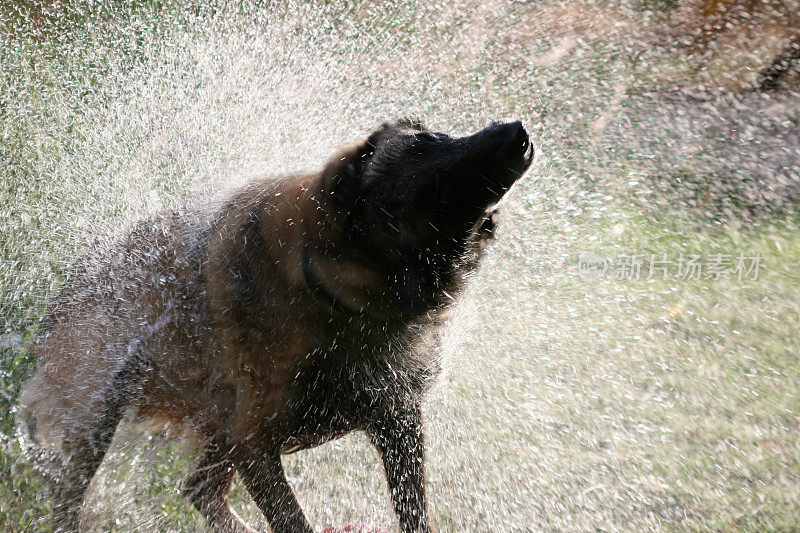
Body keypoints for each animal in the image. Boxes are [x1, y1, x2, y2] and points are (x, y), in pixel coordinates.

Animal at [18, 118, 536, 528]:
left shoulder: (397, 420)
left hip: (220, 429)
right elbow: (294, 523)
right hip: (98, 420)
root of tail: (73, 279)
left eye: (444, 133)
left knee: (200, 491)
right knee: (72, 502)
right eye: (425, 145)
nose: (517, 130)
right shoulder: (256, 441)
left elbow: (414, 515)